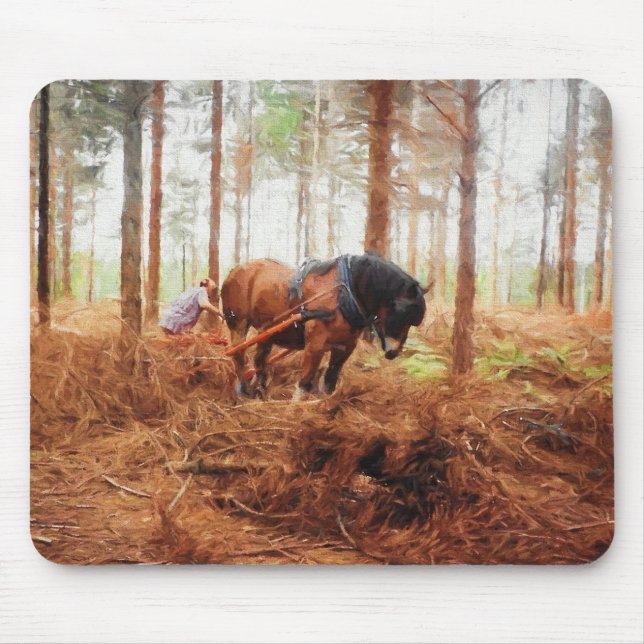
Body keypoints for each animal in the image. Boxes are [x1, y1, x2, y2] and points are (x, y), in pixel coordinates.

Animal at [220, 253, 427, 398]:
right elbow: (304, 383)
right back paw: (244, 390)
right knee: (238, 354)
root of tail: (235, 269)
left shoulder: (345, 347)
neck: (344, 292)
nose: (393, 353)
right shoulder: (315, 346)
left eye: (414, 321)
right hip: (238, 323)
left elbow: (330, 382)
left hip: (267, 331)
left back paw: (260, 391)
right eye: (400, 313)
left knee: (259, 361)